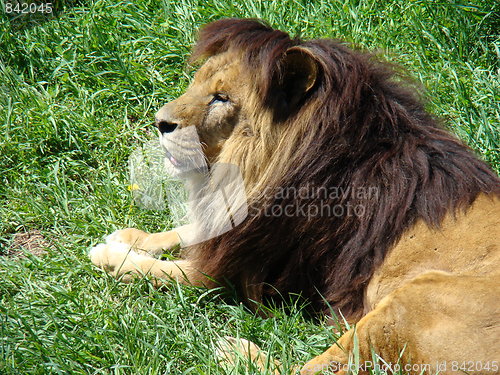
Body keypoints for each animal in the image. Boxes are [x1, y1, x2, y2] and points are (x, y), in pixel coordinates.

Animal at [91, 18, 500, 375]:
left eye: (221, 98)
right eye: (196, 84)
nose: (160, 122)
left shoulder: (232, 275)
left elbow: (163, 271)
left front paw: (110, 255)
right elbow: (190, 230)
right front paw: (131, 237)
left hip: (412, 299)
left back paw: (233, 350)